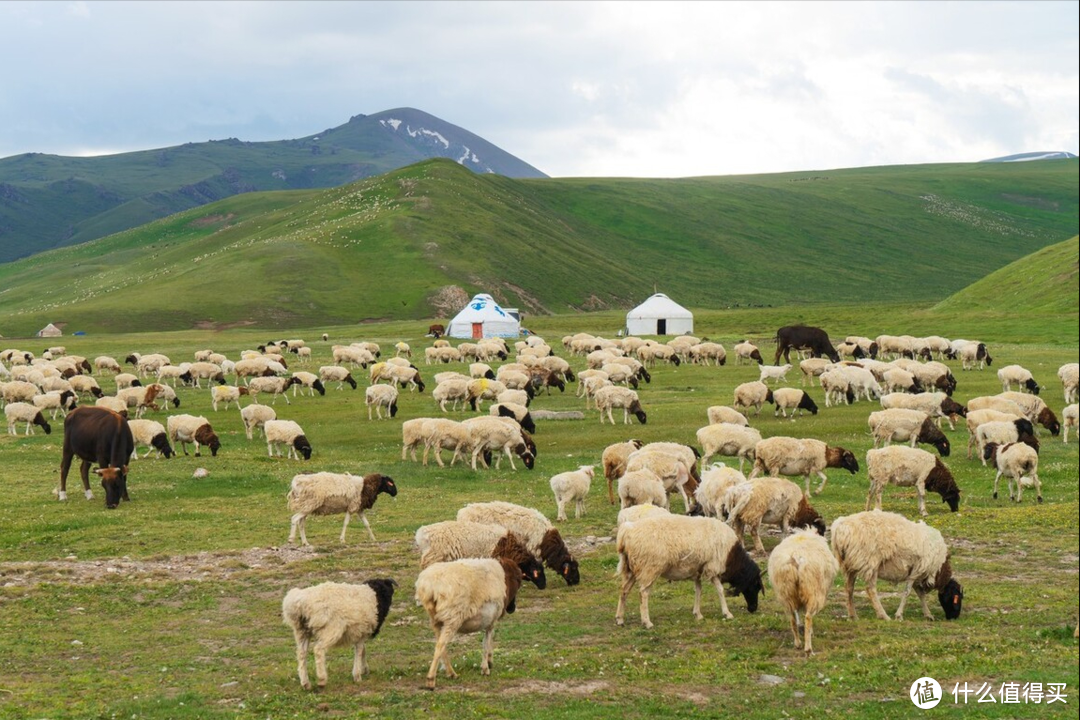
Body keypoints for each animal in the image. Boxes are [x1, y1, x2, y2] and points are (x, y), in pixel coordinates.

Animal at [414, 557, 524, 690]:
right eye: (518, 579)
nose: (512, 608)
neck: (504, 578)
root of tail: (429, 586)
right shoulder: (491, 621)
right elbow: (486, 643)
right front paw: (485, 668)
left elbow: (488, 641)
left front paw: (489, 662)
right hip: (453, 617)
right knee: (440, 645)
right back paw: (431, 680)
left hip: (435, 619)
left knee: (441, 646)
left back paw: (451, 673)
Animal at [613, 515, 764, 626]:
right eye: (755, 587)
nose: (753, 608)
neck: (732, 556)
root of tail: (626, 532)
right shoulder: (713, 567)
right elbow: (720, 590)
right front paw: (727, 613)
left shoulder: (698, 569)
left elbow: (698, 590)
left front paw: (698, 614)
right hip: (649, 567)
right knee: (643, 593)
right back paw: (646, 622)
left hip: (631, 568)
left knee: (624, 590)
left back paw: (620, 619)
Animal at [764, 526, 838, 656]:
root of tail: (796, 556)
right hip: (813, 590)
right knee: (808, 617)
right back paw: (808, 648)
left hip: (786, 592)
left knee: (792, 618)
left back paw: (797, 643)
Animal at [825, 509, 963, 621]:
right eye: (957, 598)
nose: (954, 617)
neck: (940, 569)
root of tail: (841, 528)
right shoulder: (918, 569)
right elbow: (907, 592)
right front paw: (899, 615)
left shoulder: (915, 572)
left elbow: (920, 594)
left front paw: (928, 614)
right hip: (870, 561)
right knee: (870, 589)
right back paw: (883, 615)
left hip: (851, 563)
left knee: (849, 588)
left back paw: (853, 615)